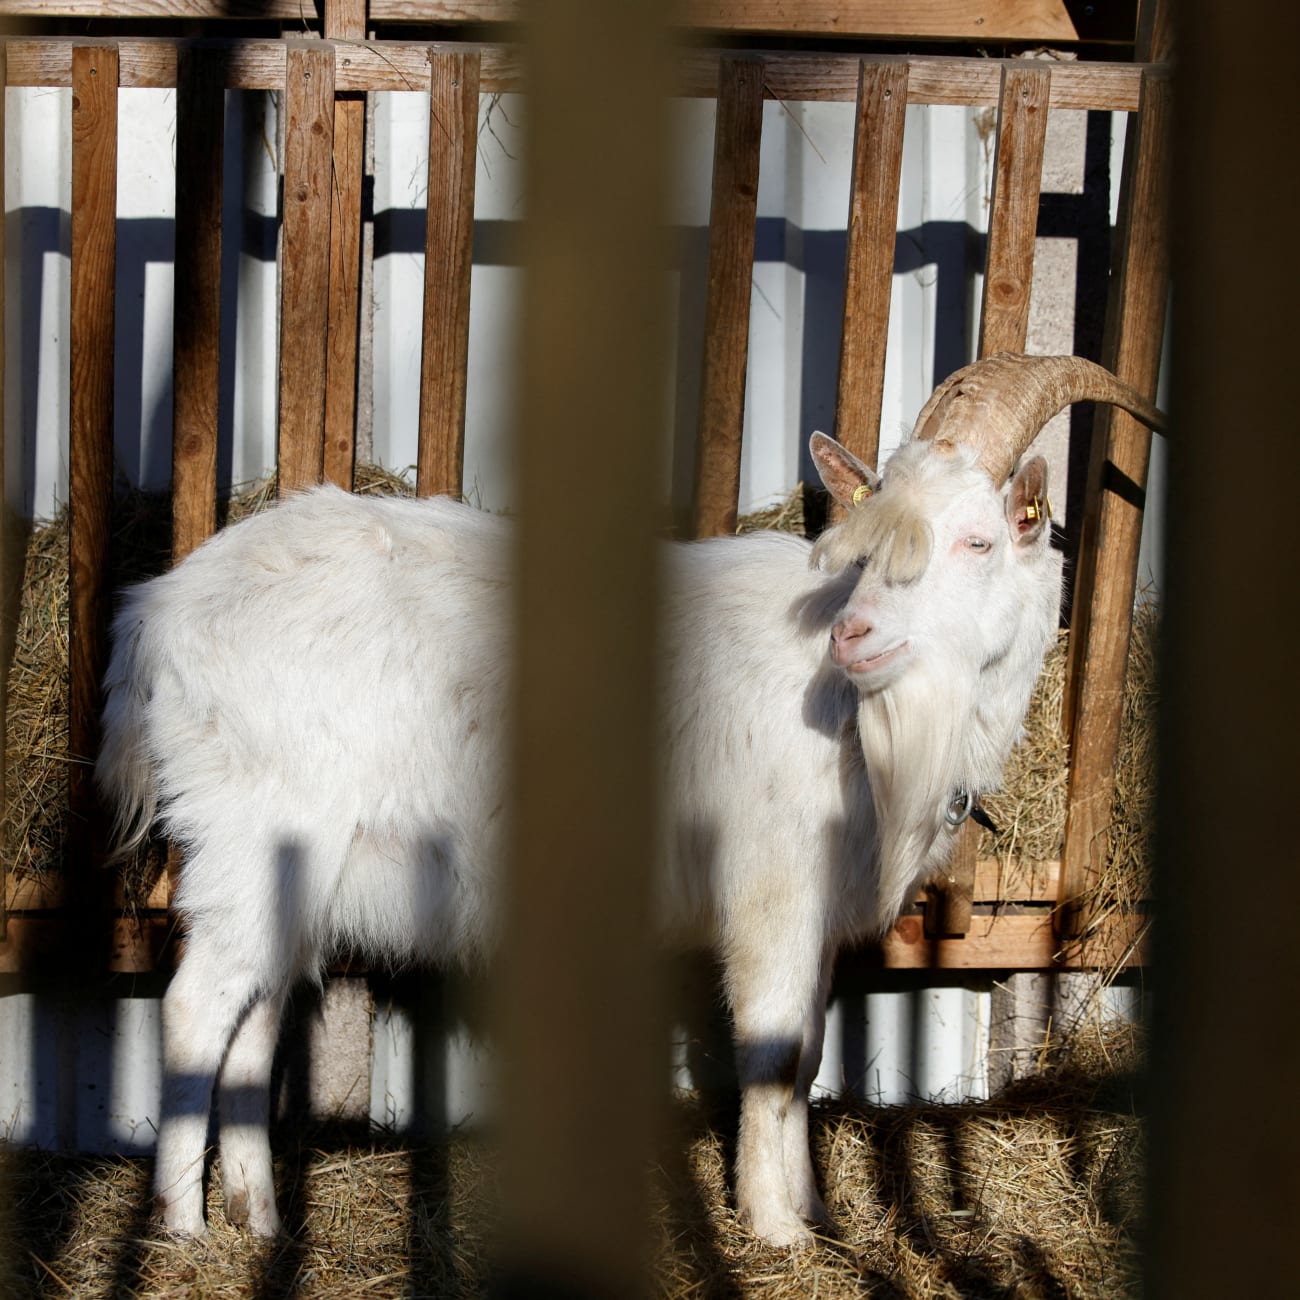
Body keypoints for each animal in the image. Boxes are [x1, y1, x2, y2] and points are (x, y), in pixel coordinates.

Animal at [96, 353, 1164, 1248]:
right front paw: (776, 1229)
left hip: (287, 873)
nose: (853, 637)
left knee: (253, 1026)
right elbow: (776, 1053)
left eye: (978, 541)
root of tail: (157, 614)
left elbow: (813, 1053)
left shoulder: (817, 909)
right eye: (865, 550)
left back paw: (259, 1221)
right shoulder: (772, 892)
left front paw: (813, 1212)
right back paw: (183, 1230)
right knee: (194, 1009)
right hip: (251, 831)